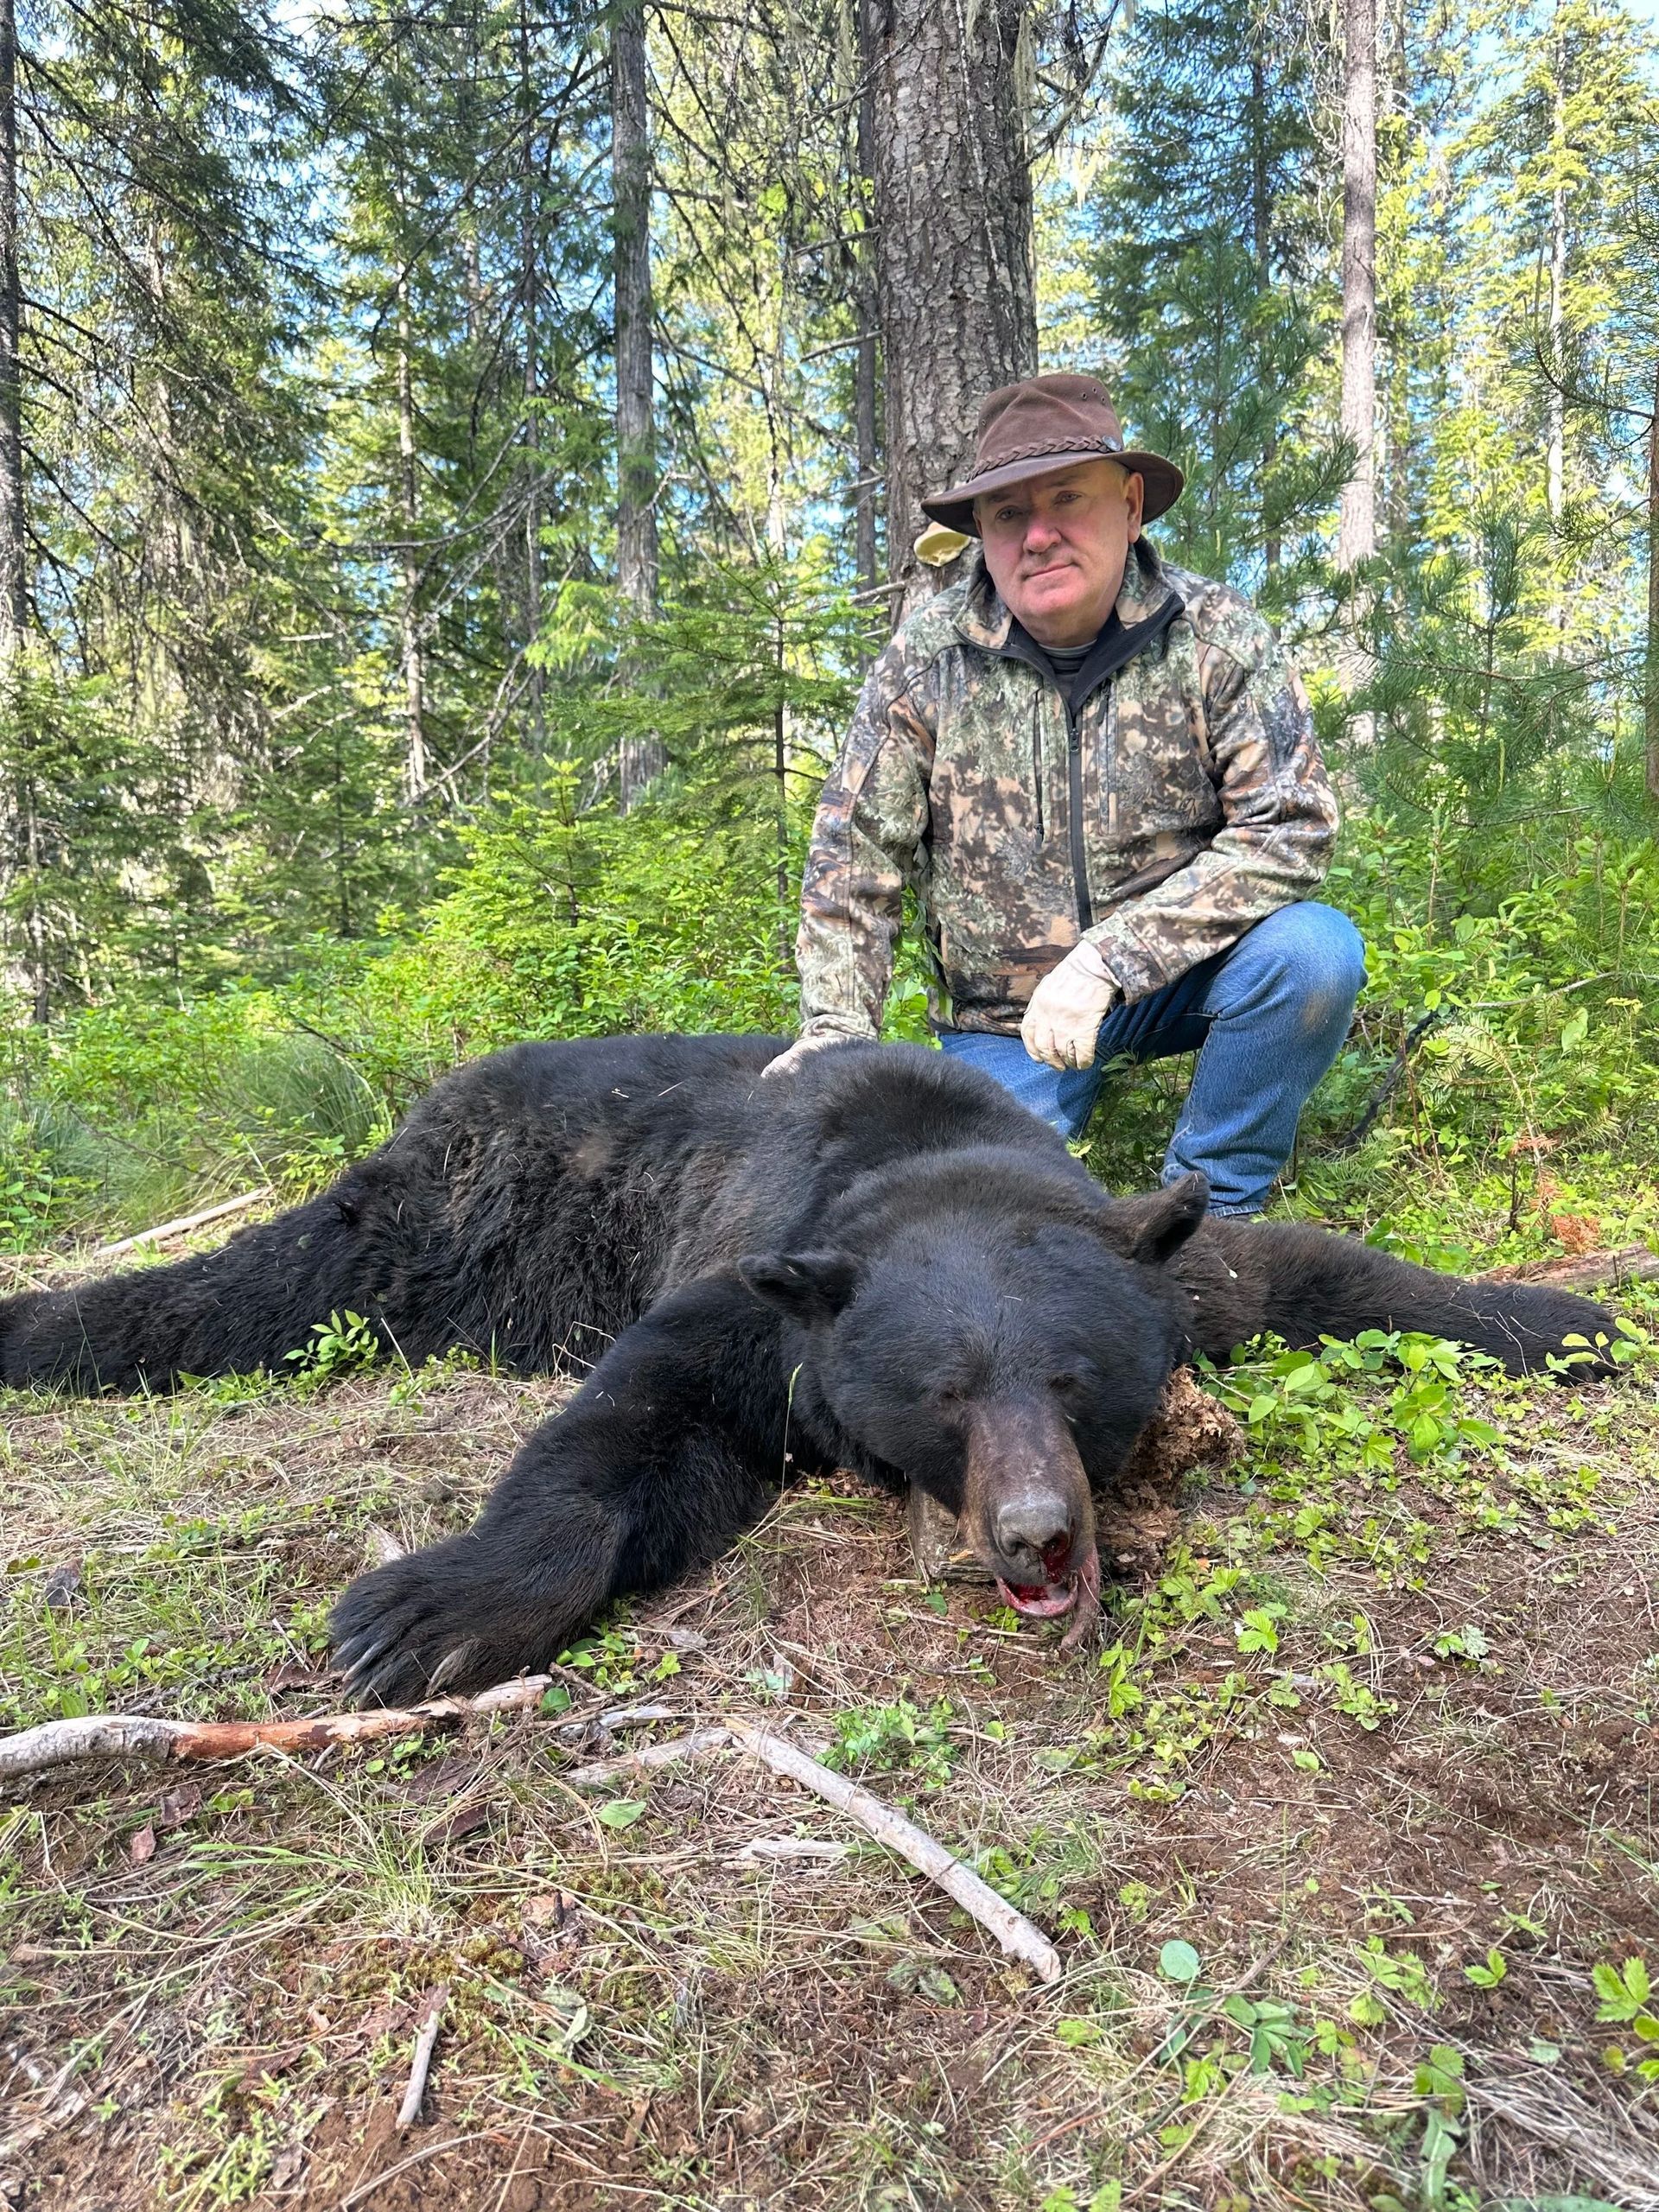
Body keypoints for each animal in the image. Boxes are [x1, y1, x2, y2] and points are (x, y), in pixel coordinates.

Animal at [0, 1034, 1616, 1704]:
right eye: (945, 1394)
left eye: (1075, 1381)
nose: (1039, 1535)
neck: (932, 1152)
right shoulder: (765, 1305)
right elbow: (629, 1430)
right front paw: (430, 1610)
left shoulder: (1155, 1254)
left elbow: (1326, 1272)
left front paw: (1565, 1316)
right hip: (456, 1225)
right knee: (269, 1283)